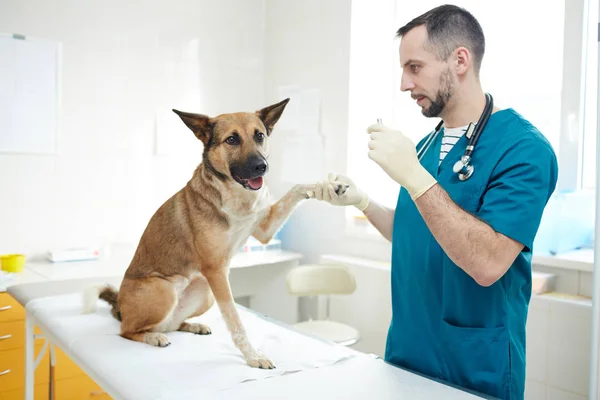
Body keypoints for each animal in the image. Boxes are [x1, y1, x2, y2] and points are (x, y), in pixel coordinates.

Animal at [83, 99, 324, 368]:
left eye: (259, 135)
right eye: (232, 139)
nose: (262, 166)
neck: (235, 195)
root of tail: (120, 307)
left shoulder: (263, 232)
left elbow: (295, 190)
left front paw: (326, 186)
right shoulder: (216, 271)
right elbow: (234, 319)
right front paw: (253, 356)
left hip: (204, 292)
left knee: (170, 324)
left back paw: (191, 326)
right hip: (164, 289)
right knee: (128, 330)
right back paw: (152, 337)